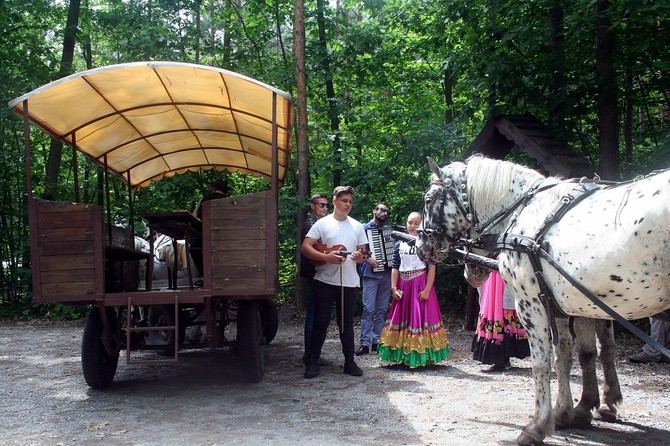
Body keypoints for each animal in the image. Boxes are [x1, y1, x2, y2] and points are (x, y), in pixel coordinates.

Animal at [418, 155, 670, 444]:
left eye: (428, 199)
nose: (420, 246)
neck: (525, 214)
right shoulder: (564, 306)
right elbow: (570, 357)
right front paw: (567, 412)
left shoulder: (532, 305)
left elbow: (541, 363)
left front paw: (537, 425)